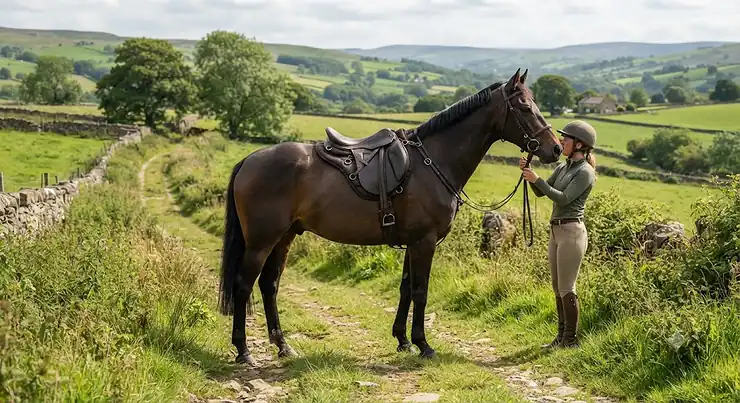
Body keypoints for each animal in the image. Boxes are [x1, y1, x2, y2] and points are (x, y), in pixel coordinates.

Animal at [218, 69, 562, 366]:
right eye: (525, 107)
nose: (556, 149)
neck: (433, 162)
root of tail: (249, 160)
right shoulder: (424, 242)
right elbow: (421, 291)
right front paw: (424, 344)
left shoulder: (412, 242)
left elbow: (406, 288)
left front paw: (403, 340)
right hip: (261, 241)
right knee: (243, 285)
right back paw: (243, 350)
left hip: (285, 237)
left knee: (269, 284)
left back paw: (283, 345)